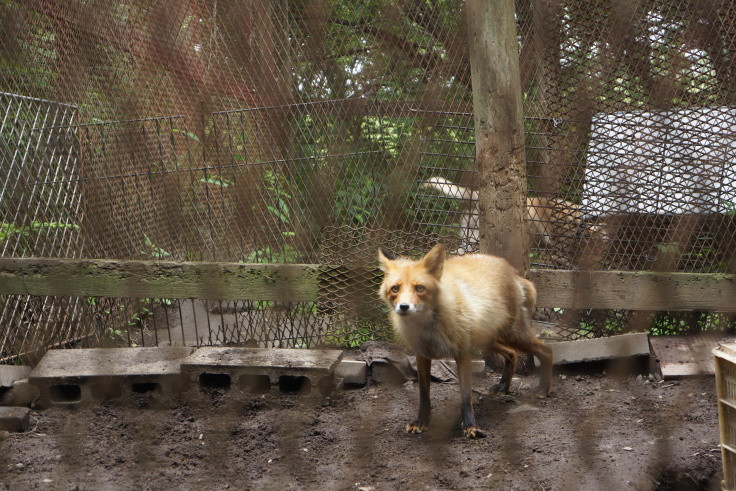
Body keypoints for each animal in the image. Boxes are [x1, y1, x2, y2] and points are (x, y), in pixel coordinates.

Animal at [380, 244, 552, 440]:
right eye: (395, 289)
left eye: (420, 288)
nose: (404, 307)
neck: (429, 329)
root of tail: (510, 269)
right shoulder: (422, 354)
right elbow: (424, 394)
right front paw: (422, 422)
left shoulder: (462, 353)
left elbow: (465, 396)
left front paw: (471, 427)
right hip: (487, 339)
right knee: (512, 353)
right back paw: (504, 386)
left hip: (512, 335)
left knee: (546, 350)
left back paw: (543, 389)